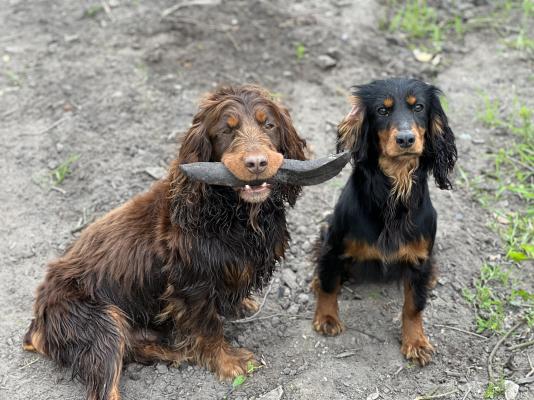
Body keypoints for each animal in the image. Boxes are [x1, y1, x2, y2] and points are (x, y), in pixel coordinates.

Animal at [312, 77, 458, 366]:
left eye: (418, 107)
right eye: (382, 110)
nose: (406, 139)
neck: (395, 188)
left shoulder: (419, 258)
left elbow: (413, 306)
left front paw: (416, 342)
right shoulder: (335, 246)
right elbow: (329, 283)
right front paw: (327, 317)